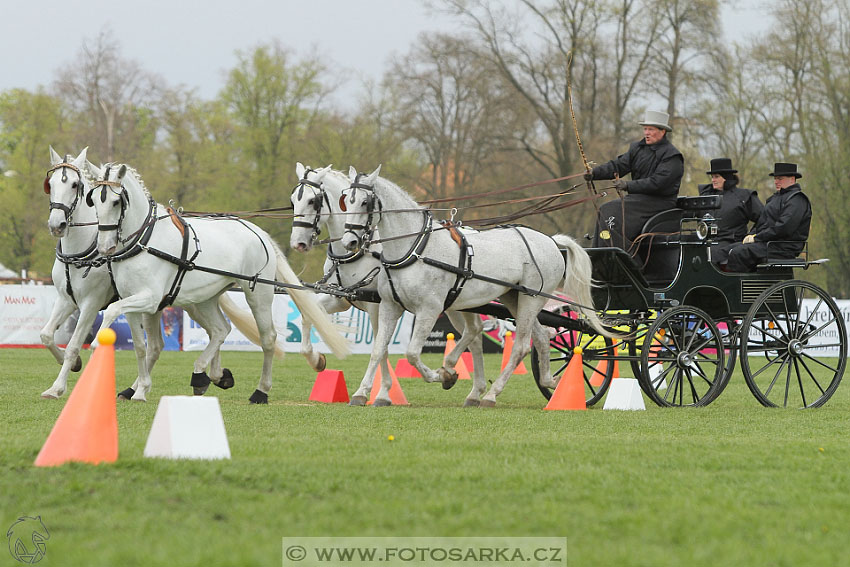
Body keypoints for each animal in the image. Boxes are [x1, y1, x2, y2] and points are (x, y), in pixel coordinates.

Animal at [40, 149, 166, 402]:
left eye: (75, 185)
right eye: (51, 184)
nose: (57, 225)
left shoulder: (91, 302)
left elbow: (74, 345)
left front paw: (58, 387)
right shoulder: (66, 299)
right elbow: (46, 335)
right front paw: (72, 365)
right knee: (155, 346)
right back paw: (134, 389)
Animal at [87, 162, 348, 404]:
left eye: (116, 202)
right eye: (94, 201)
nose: (104, 247)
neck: (144, 240)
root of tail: (257, 231)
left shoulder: (149, 299)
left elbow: (112, 311)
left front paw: (97, 348)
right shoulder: (135, 301)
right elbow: (141, 346)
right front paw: (140, 390)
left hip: (258, 294)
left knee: (267, 338)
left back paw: (260, 391)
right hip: (204, 299)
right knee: (220, 329)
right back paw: (204, 375)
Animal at [288, 162, 484, 406]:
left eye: (313, 201)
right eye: (293, 200)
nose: (298, 243)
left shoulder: (377, 304)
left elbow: (379, 346)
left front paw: (376, 393)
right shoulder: (341, 298)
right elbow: (309, 314)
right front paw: (317, 360)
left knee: (474, 334)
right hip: (455, 305)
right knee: (475, 336)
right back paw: (472, 390)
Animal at [338, 166, 604, 406]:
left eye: (364, 202)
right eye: (346, 202)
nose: (349, 241)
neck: (415, 249)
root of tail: (551, 241)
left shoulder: (429, 310)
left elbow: (412, 353)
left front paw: (443, 375)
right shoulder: (390, 306)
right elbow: (378, 349)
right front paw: (361, 394)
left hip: (532, 299)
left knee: (519, 346)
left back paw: (491, 394)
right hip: (514, 298)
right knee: (539, 338)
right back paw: (549, 381)